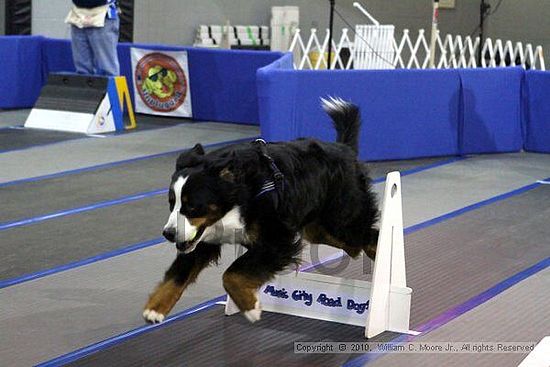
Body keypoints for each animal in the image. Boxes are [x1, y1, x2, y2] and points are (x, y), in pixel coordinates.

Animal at [144, 98, 382, 324]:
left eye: (192, 206)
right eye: (171, 203)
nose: (168, 233)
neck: (241, 194)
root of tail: (344, 149)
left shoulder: (276, 239)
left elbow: (231, 275)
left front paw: (250, 308)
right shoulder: (201, 239)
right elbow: (178, 273)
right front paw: (154, 309)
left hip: (342, 219)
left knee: (370, 235)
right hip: (318, 227)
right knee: (348, 242)